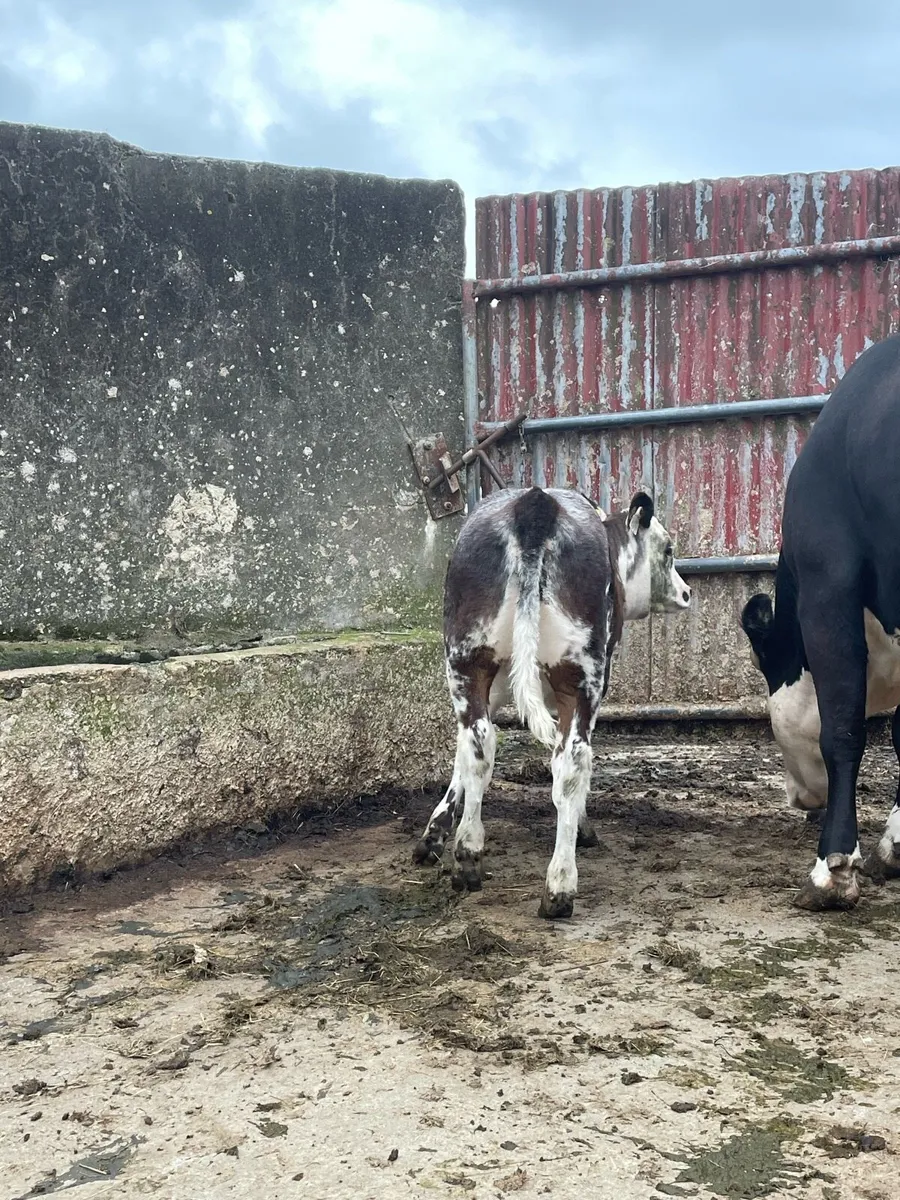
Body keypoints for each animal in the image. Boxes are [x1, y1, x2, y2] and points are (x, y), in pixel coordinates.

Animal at [412, 485, 691, 919]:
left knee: (479, 743)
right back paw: (560, 886)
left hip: (466, 659)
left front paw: (434, 836)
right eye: (668, 549)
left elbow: (464, 752)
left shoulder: (497, 684)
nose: (686, 592)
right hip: (581, 674)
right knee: (572, 761)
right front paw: (583, 827)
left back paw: (468, 855)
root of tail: (535, 503)